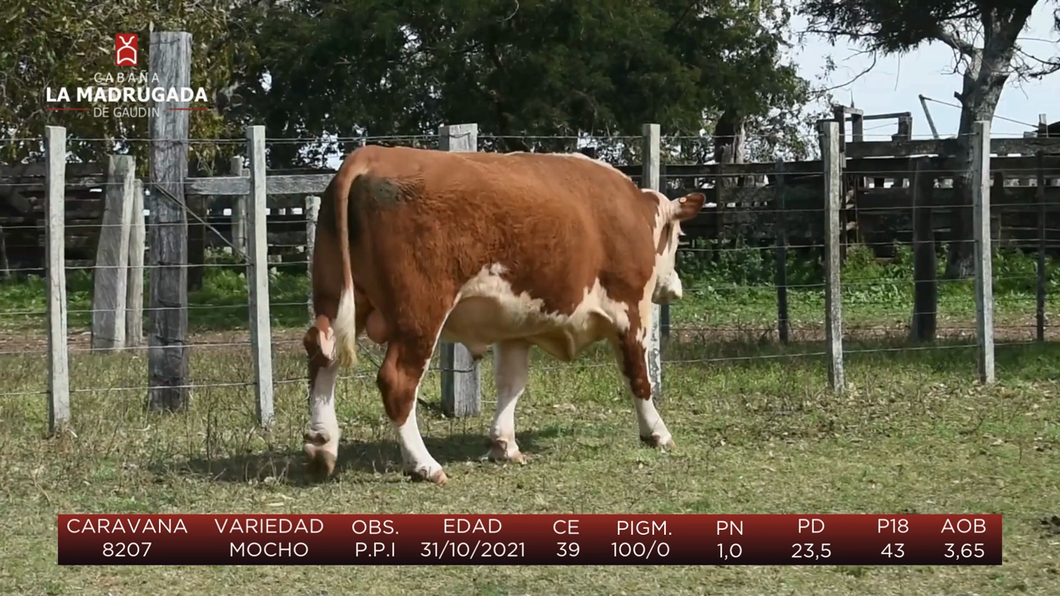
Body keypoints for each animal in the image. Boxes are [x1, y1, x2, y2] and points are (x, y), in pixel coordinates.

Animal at [303, 145, 708, 483]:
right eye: (678, 236)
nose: (674, 288)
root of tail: (371, 154)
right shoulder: (630, 313)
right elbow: (640, 378)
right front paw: (657, 433)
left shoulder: (516, 329)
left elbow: (512, 384)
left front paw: (504, 444)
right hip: (419, 315)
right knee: (397, 381)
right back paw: (424, 465)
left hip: (338, 298)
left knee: (323, 354)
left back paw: (322, 444)